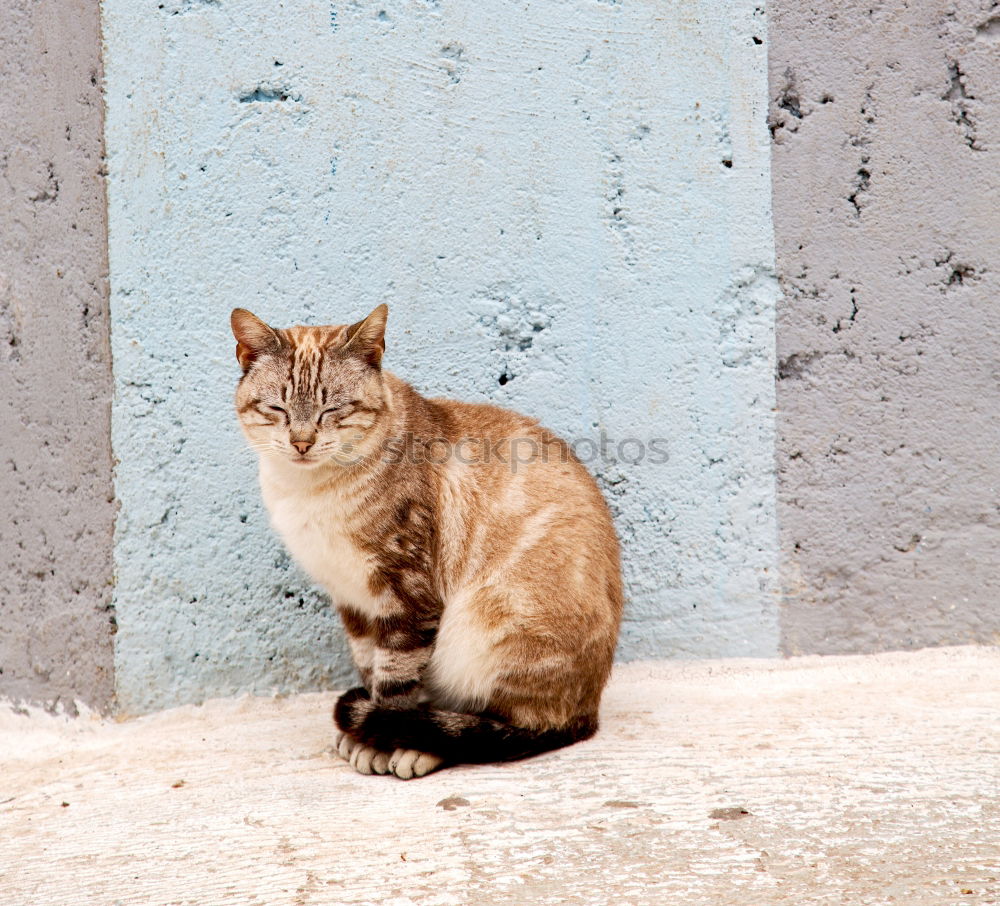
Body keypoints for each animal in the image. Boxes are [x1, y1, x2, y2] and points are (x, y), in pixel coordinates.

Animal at [232, 304, 624, 776]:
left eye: (333, 409)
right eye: (278, 408)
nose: (302, 443)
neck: (308, 492)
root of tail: (591, 709)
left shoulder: (407, 596)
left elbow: (395, 685)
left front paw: (380, 742)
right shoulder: (351, 599)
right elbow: (369, 668)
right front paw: (365, 732)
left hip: (486, 625)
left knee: (505, 727)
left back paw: (423, 747)